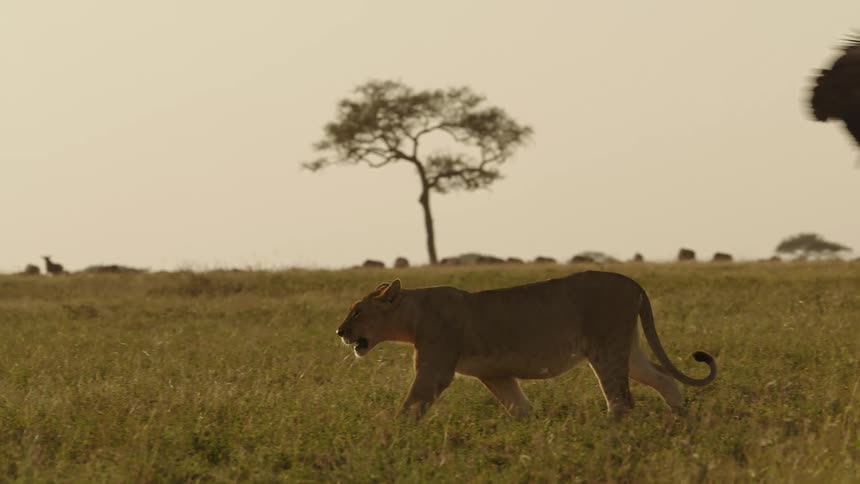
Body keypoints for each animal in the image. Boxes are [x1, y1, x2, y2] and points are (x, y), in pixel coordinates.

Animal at [336, 271, 717, 420]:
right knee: (664, 380)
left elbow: (411, 406)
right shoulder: (496, 374)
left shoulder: (435, 370)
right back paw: (684, 423)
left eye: (357, 311)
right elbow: (519, 407)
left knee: (621, 401)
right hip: (628, 350)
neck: (412, 314)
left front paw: (389, 436)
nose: (339, 331)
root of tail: (632, 281)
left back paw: (608, 435)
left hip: (606, 349)